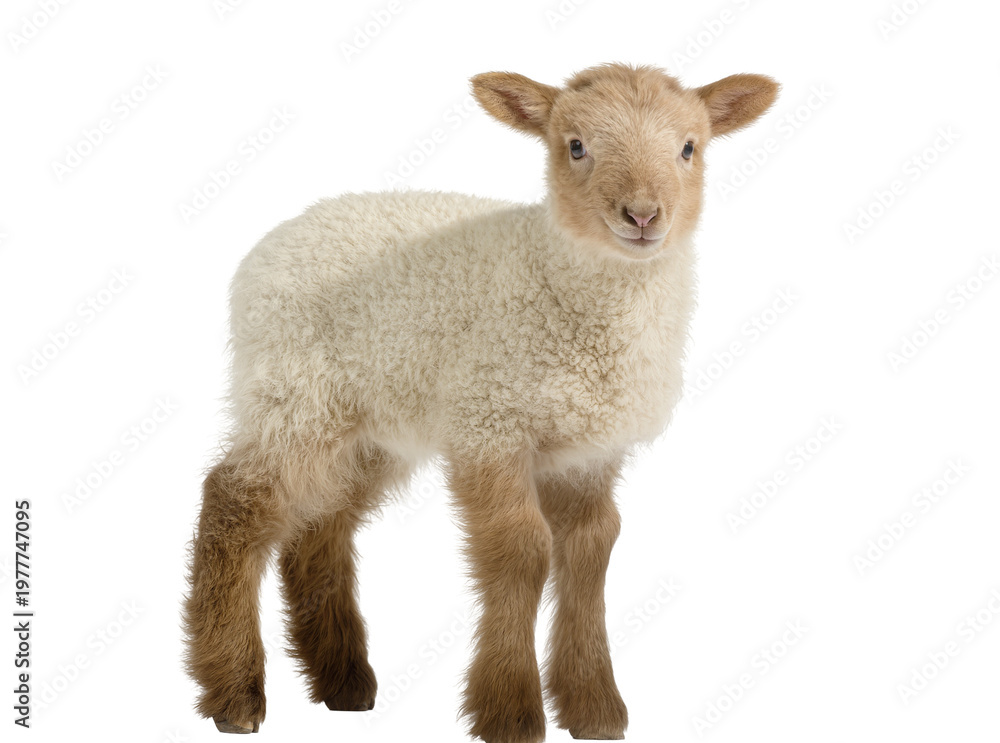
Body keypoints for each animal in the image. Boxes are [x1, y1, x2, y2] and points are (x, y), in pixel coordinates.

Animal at [183, 62, 778, 742]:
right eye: (575, 146)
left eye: (688, 148)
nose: (643, 215)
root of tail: (278, 239)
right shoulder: (489, 424)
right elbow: (520, 550)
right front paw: (511, 711)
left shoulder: (589, 449)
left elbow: (592, 549)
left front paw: (594, 707)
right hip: (295, 393)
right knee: (235, 502)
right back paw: (234, 693)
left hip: (371, 424)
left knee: (319, 527)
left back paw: (344, 684)